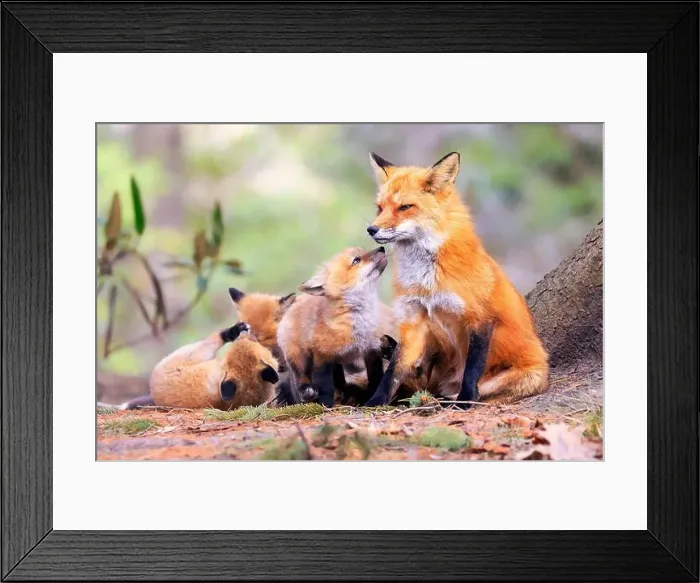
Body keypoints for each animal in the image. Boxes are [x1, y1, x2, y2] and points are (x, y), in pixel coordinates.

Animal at [122, 322, 280, 410]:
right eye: (253, 343)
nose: (243, 333)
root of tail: (155, 394)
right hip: (194, 353)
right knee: (213, 339)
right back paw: (231, 331)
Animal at [277, 246, 389, 407]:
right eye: (356, 260)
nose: (381, 248)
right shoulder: (321, 357)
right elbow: (325, 387)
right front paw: (326, 406)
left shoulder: (372, 350)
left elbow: (376, 379)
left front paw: (372, 397)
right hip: (298, 357)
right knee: (300, 378)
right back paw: (306, 392)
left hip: (336, 364)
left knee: (340, 381)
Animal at [364, 151, 549, 408]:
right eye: (379, 208)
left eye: (405, 207)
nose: (371, 229)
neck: (427, 280)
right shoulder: (413, 320)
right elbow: (393, 371)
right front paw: (376, 400)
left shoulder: (480, 318)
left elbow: (472, 368)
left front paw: (466, 400)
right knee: (420, 381)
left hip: (526, 376)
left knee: (473, 391)